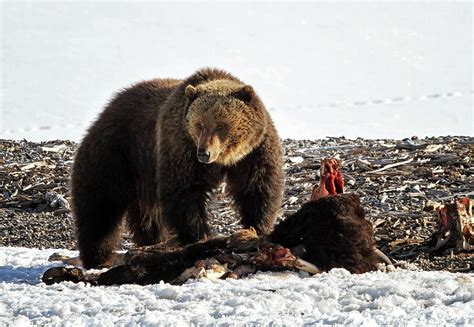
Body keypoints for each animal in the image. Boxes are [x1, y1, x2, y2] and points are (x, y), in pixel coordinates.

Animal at [72, 68, 284, 270]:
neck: (225, 160)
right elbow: (184, 194)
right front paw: (199, 237)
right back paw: (98, 258)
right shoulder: (181, 147)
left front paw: (256, 229)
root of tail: (107, 109)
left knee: (148, 218)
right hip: (116, 152)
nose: (204, 153)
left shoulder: (255, 152)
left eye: (221, 125)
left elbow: (257, 188)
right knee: (100, 207)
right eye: (200, 124)